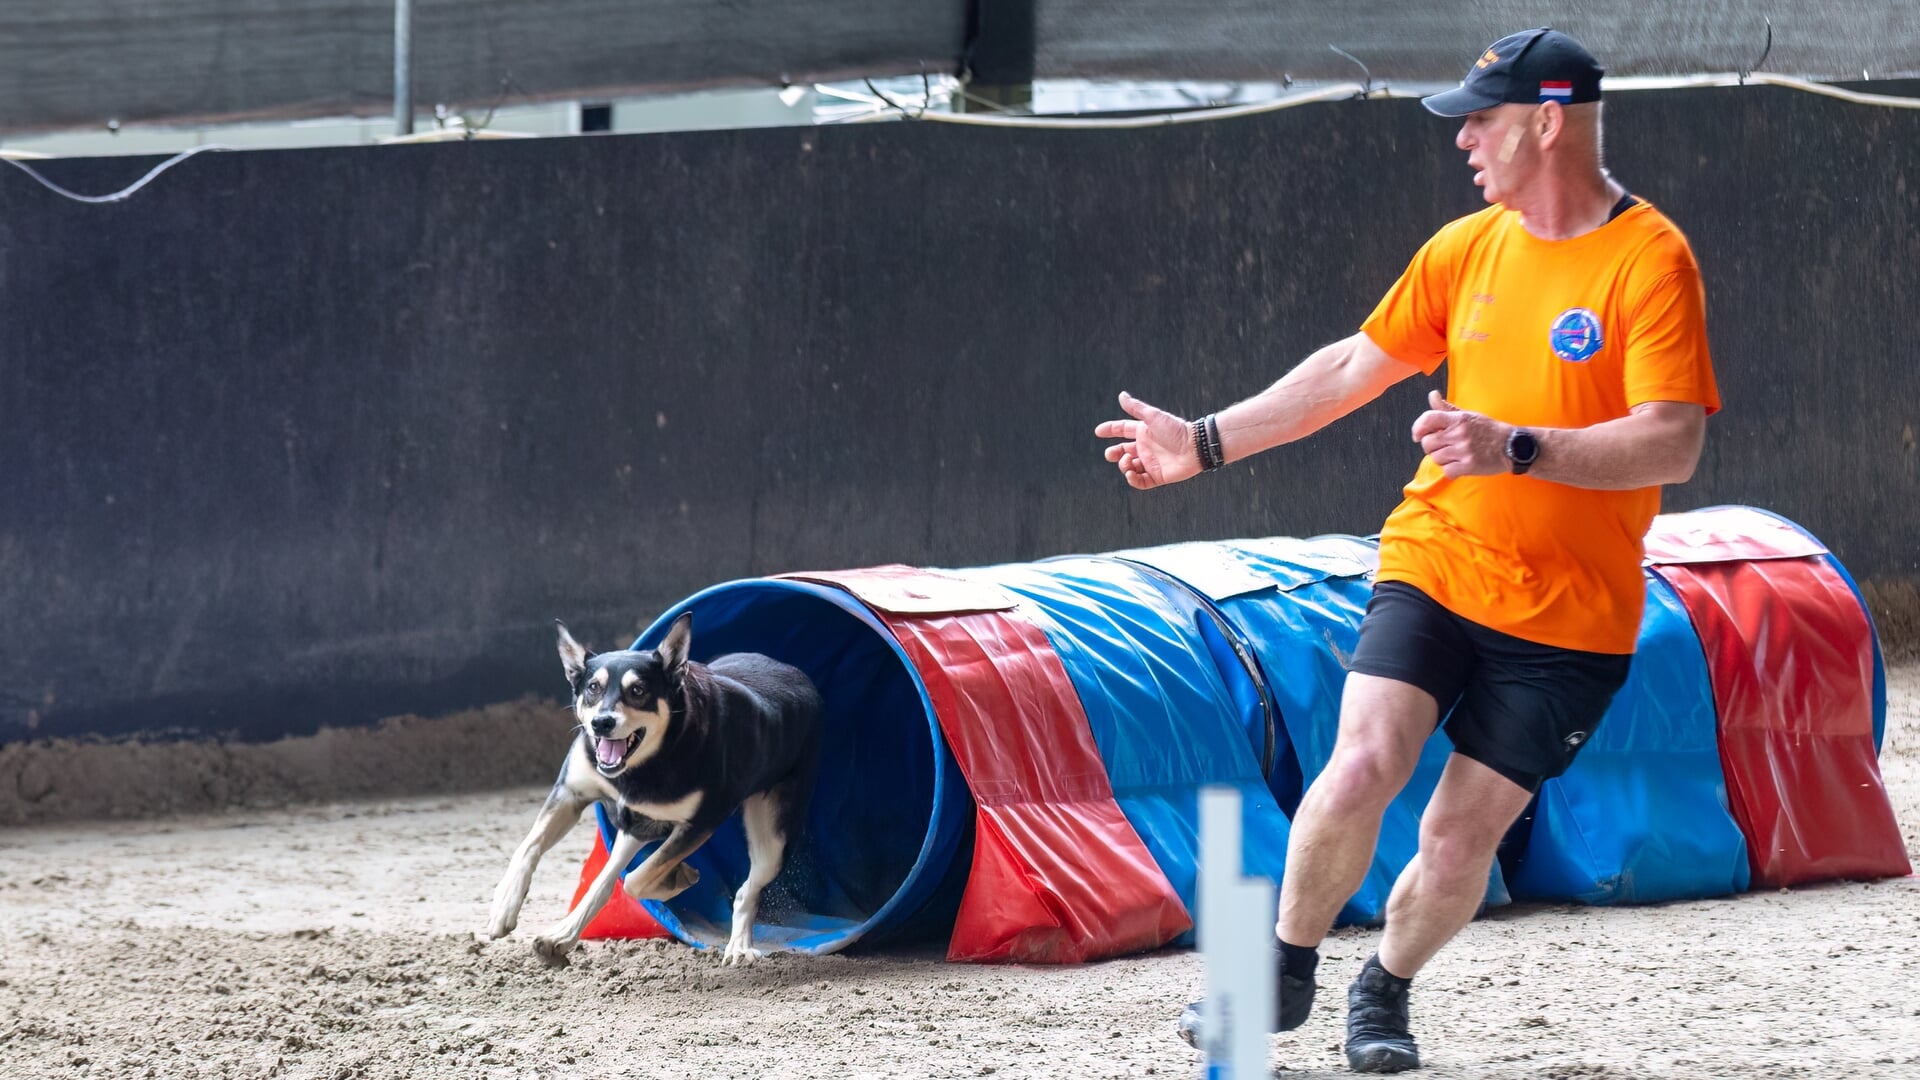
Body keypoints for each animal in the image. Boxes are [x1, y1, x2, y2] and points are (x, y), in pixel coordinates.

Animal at [483, 611, 821, 960]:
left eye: (638, 690)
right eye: (592, 688)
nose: (601, 723)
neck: (641, 766)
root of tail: (797, 675)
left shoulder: (700, 823)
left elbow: (636, 879)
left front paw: (678, 878)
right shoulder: (570, 793)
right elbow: (527, 847)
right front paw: (503, 907)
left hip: (772, 840)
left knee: (747, 891)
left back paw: (739, 945)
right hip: (637, 825)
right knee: (607, 878)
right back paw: (560, 935)